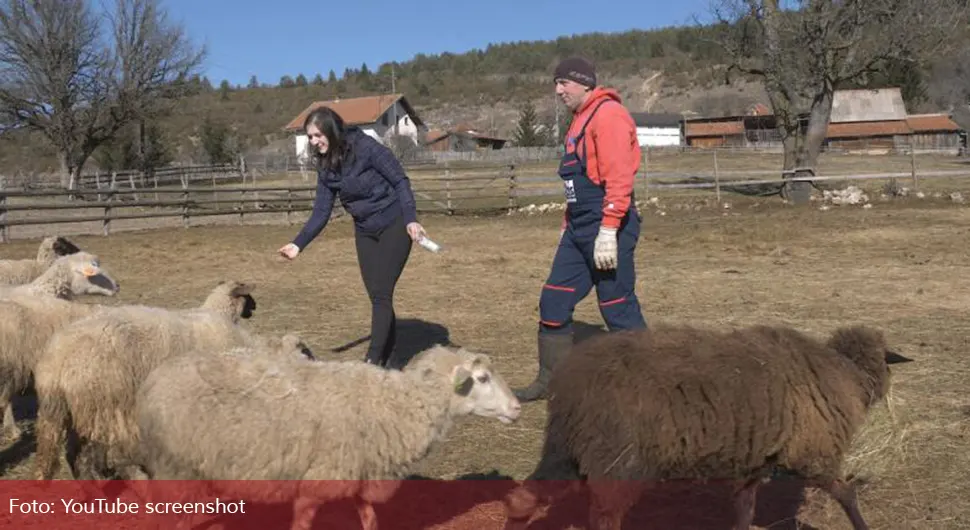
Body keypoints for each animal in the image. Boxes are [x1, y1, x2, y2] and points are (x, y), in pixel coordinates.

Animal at [34, 278, 260, 480]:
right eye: (248, 297)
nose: (255, 308)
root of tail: (56, 362)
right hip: (103, 407)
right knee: (91, 454)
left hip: (70, 411)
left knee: (69, 454)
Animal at [129, 342, 520, 528]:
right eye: (482, 379)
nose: (517, 408)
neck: (397, 404)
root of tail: (153, 381)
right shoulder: (317, 480)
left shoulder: (359, 471)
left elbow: (369, 518)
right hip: (177, 467)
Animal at [502, 320, 912, 528]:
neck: (846, 373)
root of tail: (568, 387)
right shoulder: (814, 454)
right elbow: (847, 494)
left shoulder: (753, 462)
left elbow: (744, 510)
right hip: (618, 459)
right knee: (604, 518)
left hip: (568, 449)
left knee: (524, 497)